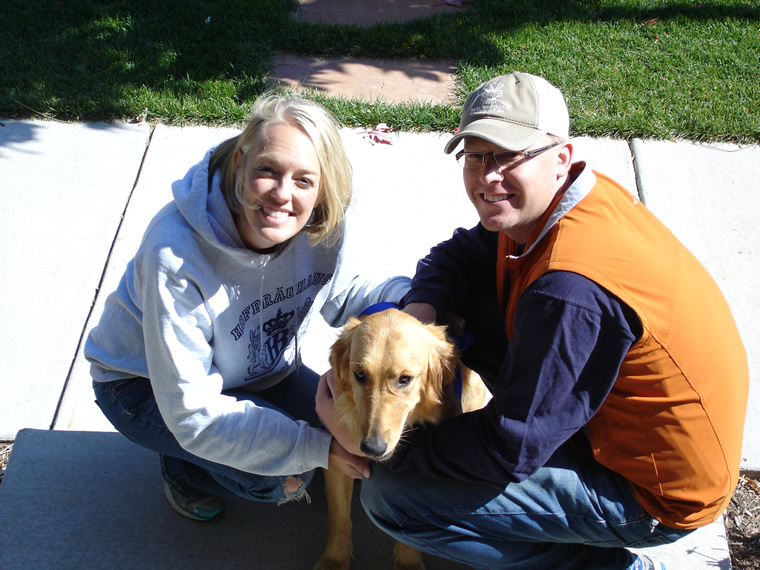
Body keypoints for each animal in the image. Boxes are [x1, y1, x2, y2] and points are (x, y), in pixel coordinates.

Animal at [314, 306, 486, 568]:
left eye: (405, 379)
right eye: (359, 374)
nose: (372, 448)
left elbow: (408, 535)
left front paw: (408, 563)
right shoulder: (337, 458)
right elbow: (339, 515)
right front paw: (334, 560)